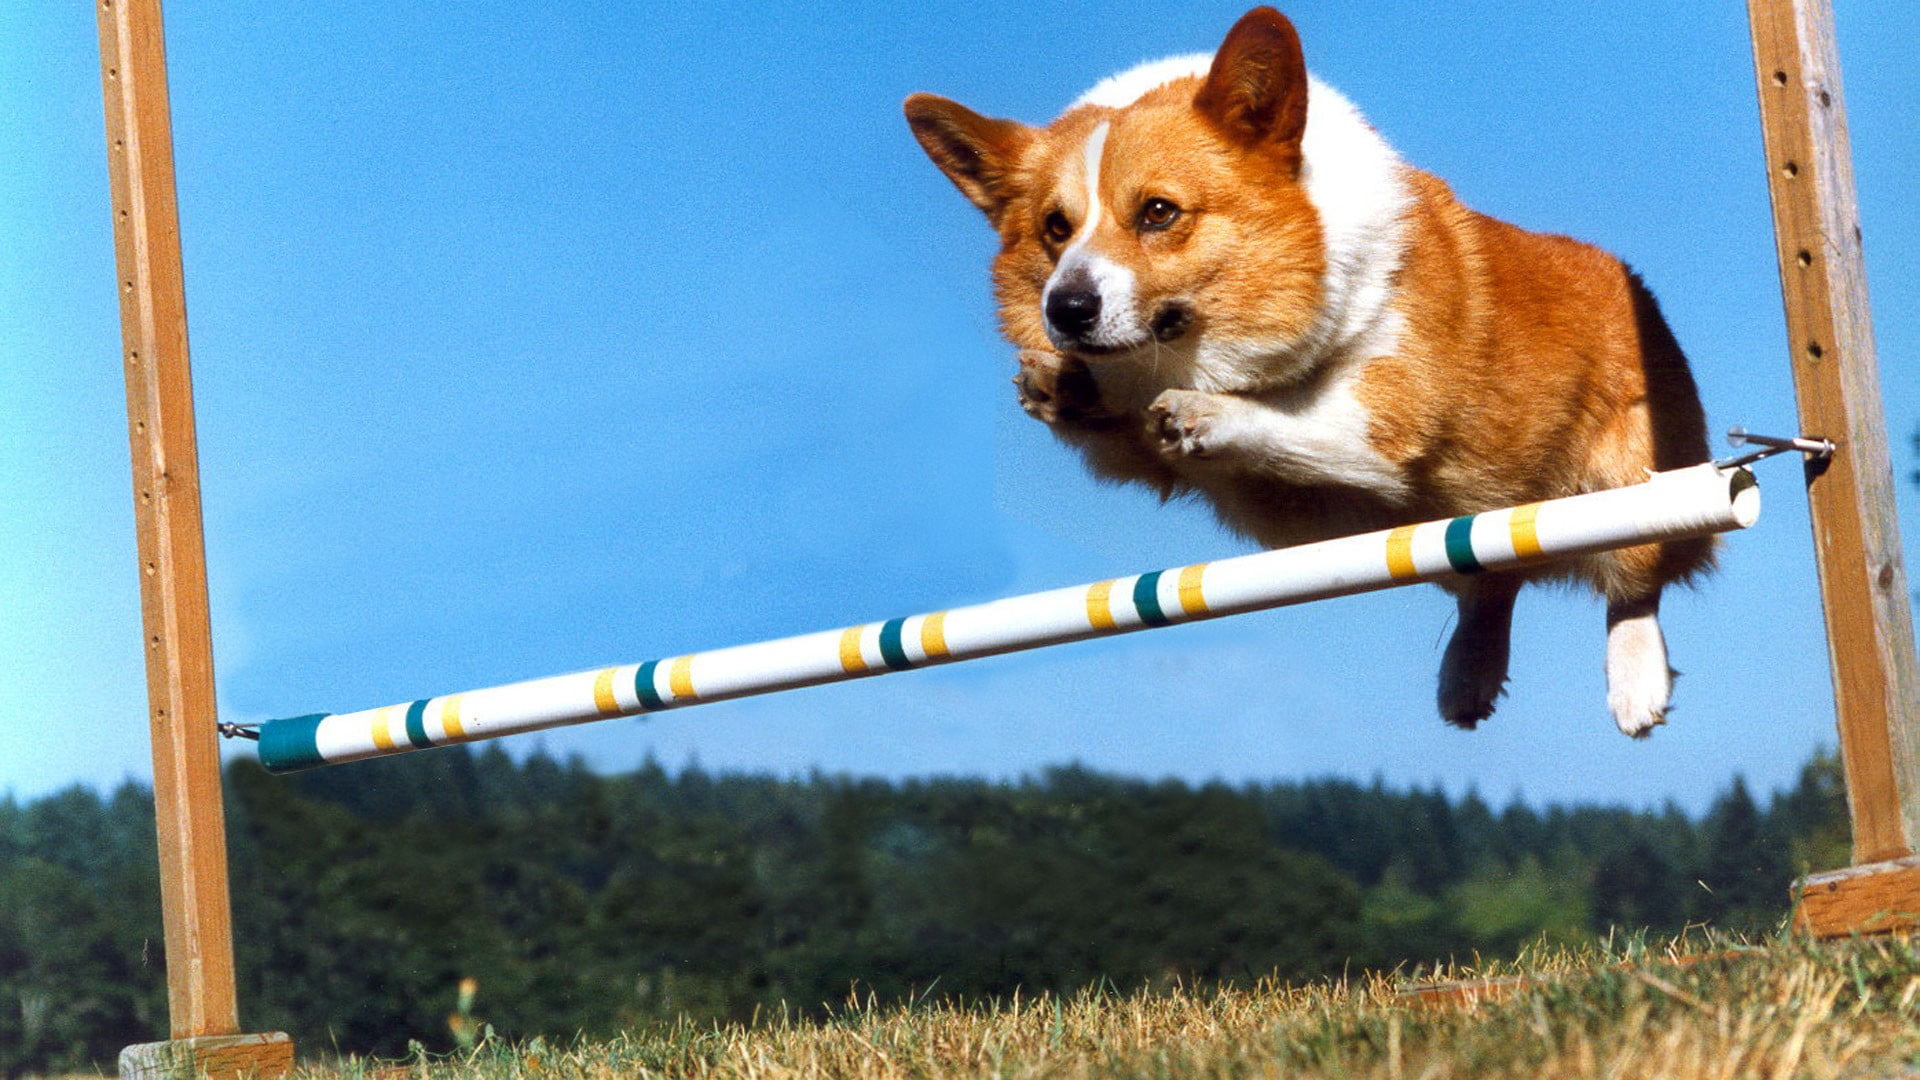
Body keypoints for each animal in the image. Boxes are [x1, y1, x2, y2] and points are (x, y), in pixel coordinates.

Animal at [906, 6, 1720, 730]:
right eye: (1055, 228)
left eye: (1159, 212)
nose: (1066, 309)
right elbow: (1120, 415)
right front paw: (1064, 382)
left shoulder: (1380, 426)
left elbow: (1284, 423)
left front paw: (1207, 413)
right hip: (1478, 525)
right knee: (1491, 581)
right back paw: (1468, 677)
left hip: (1627, 484)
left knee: (1635, 576)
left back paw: (1636, 682)